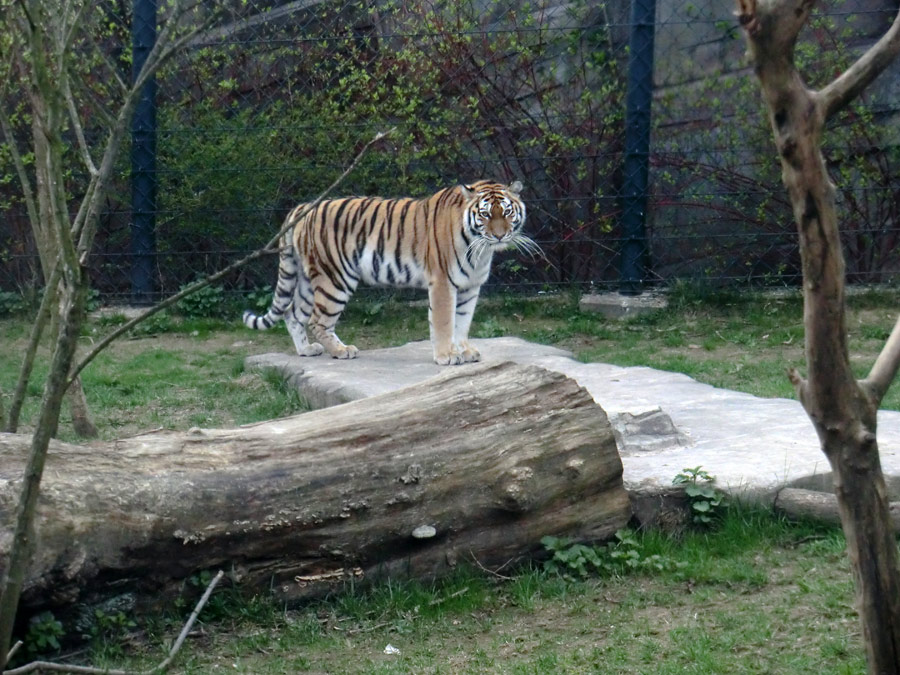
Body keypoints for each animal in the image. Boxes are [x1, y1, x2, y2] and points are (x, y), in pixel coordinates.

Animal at [241, 181, 536, 364]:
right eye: (485, 214)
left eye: (507, 212)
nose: (499, 236)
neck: (480, 250)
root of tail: (302, 207)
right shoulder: (443, 283)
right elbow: (444, 322)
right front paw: (446, 356)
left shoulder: (470, 286)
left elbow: (462, 322)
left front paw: (465, 351)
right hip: (334, 278)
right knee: (317, 320)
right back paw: (341, 350)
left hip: (307, 279)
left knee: (292, 313)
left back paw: (306, 350)